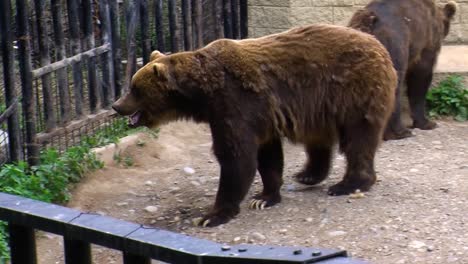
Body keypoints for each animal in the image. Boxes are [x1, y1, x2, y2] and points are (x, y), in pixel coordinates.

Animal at [111, 24, 396, 227]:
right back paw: (308, 174)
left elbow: (236, 157)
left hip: (353, 93)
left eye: (135, 88)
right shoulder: (260, 116)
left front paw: (212, 215)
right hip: (320, 108)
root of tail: (380, 46)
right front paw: (264, 197)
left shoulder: (235, 104)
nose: (116, 105)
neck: (202, 94)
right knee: (319, 140)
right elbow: (266, 155)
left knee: (358, 140)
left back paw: (348, 184)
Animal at [348, 0, 458, 140]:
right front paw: (427, 122)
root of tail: (367, 23)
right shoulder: (425, 42)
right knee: (394, 86)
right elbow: (421, 76)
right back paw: (400, 132)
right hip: (394, 45)